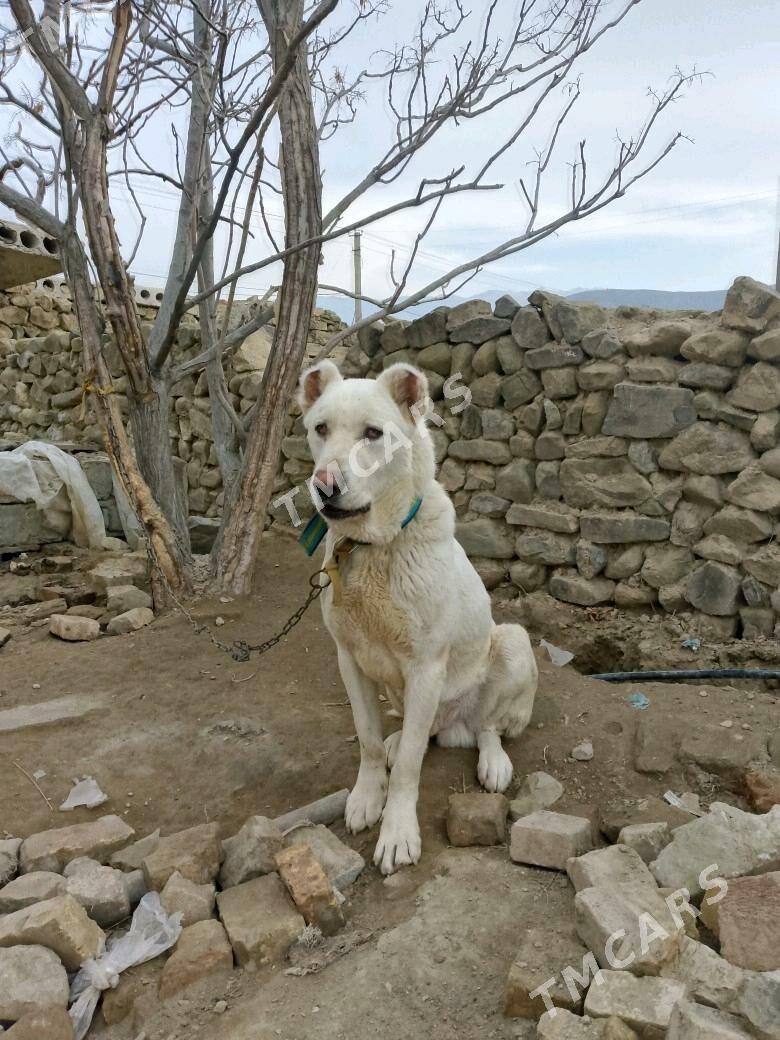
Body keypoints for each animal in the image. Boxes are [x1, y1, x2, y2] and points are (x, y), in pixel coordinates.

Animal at [299, 361, 536, 873]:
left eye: (373, 434)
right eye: (320, 429)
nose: (324, 485)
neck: (373, 549)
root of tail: (453, 727)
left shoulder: (426, 668)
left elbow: (410, 768)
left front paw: (397, 832)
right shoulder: (348, 659)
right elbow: (367, 739)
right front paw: (368, 796)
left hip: (510, 641)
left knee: (487, 728)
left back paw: (492, 761)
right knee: (415, 731)